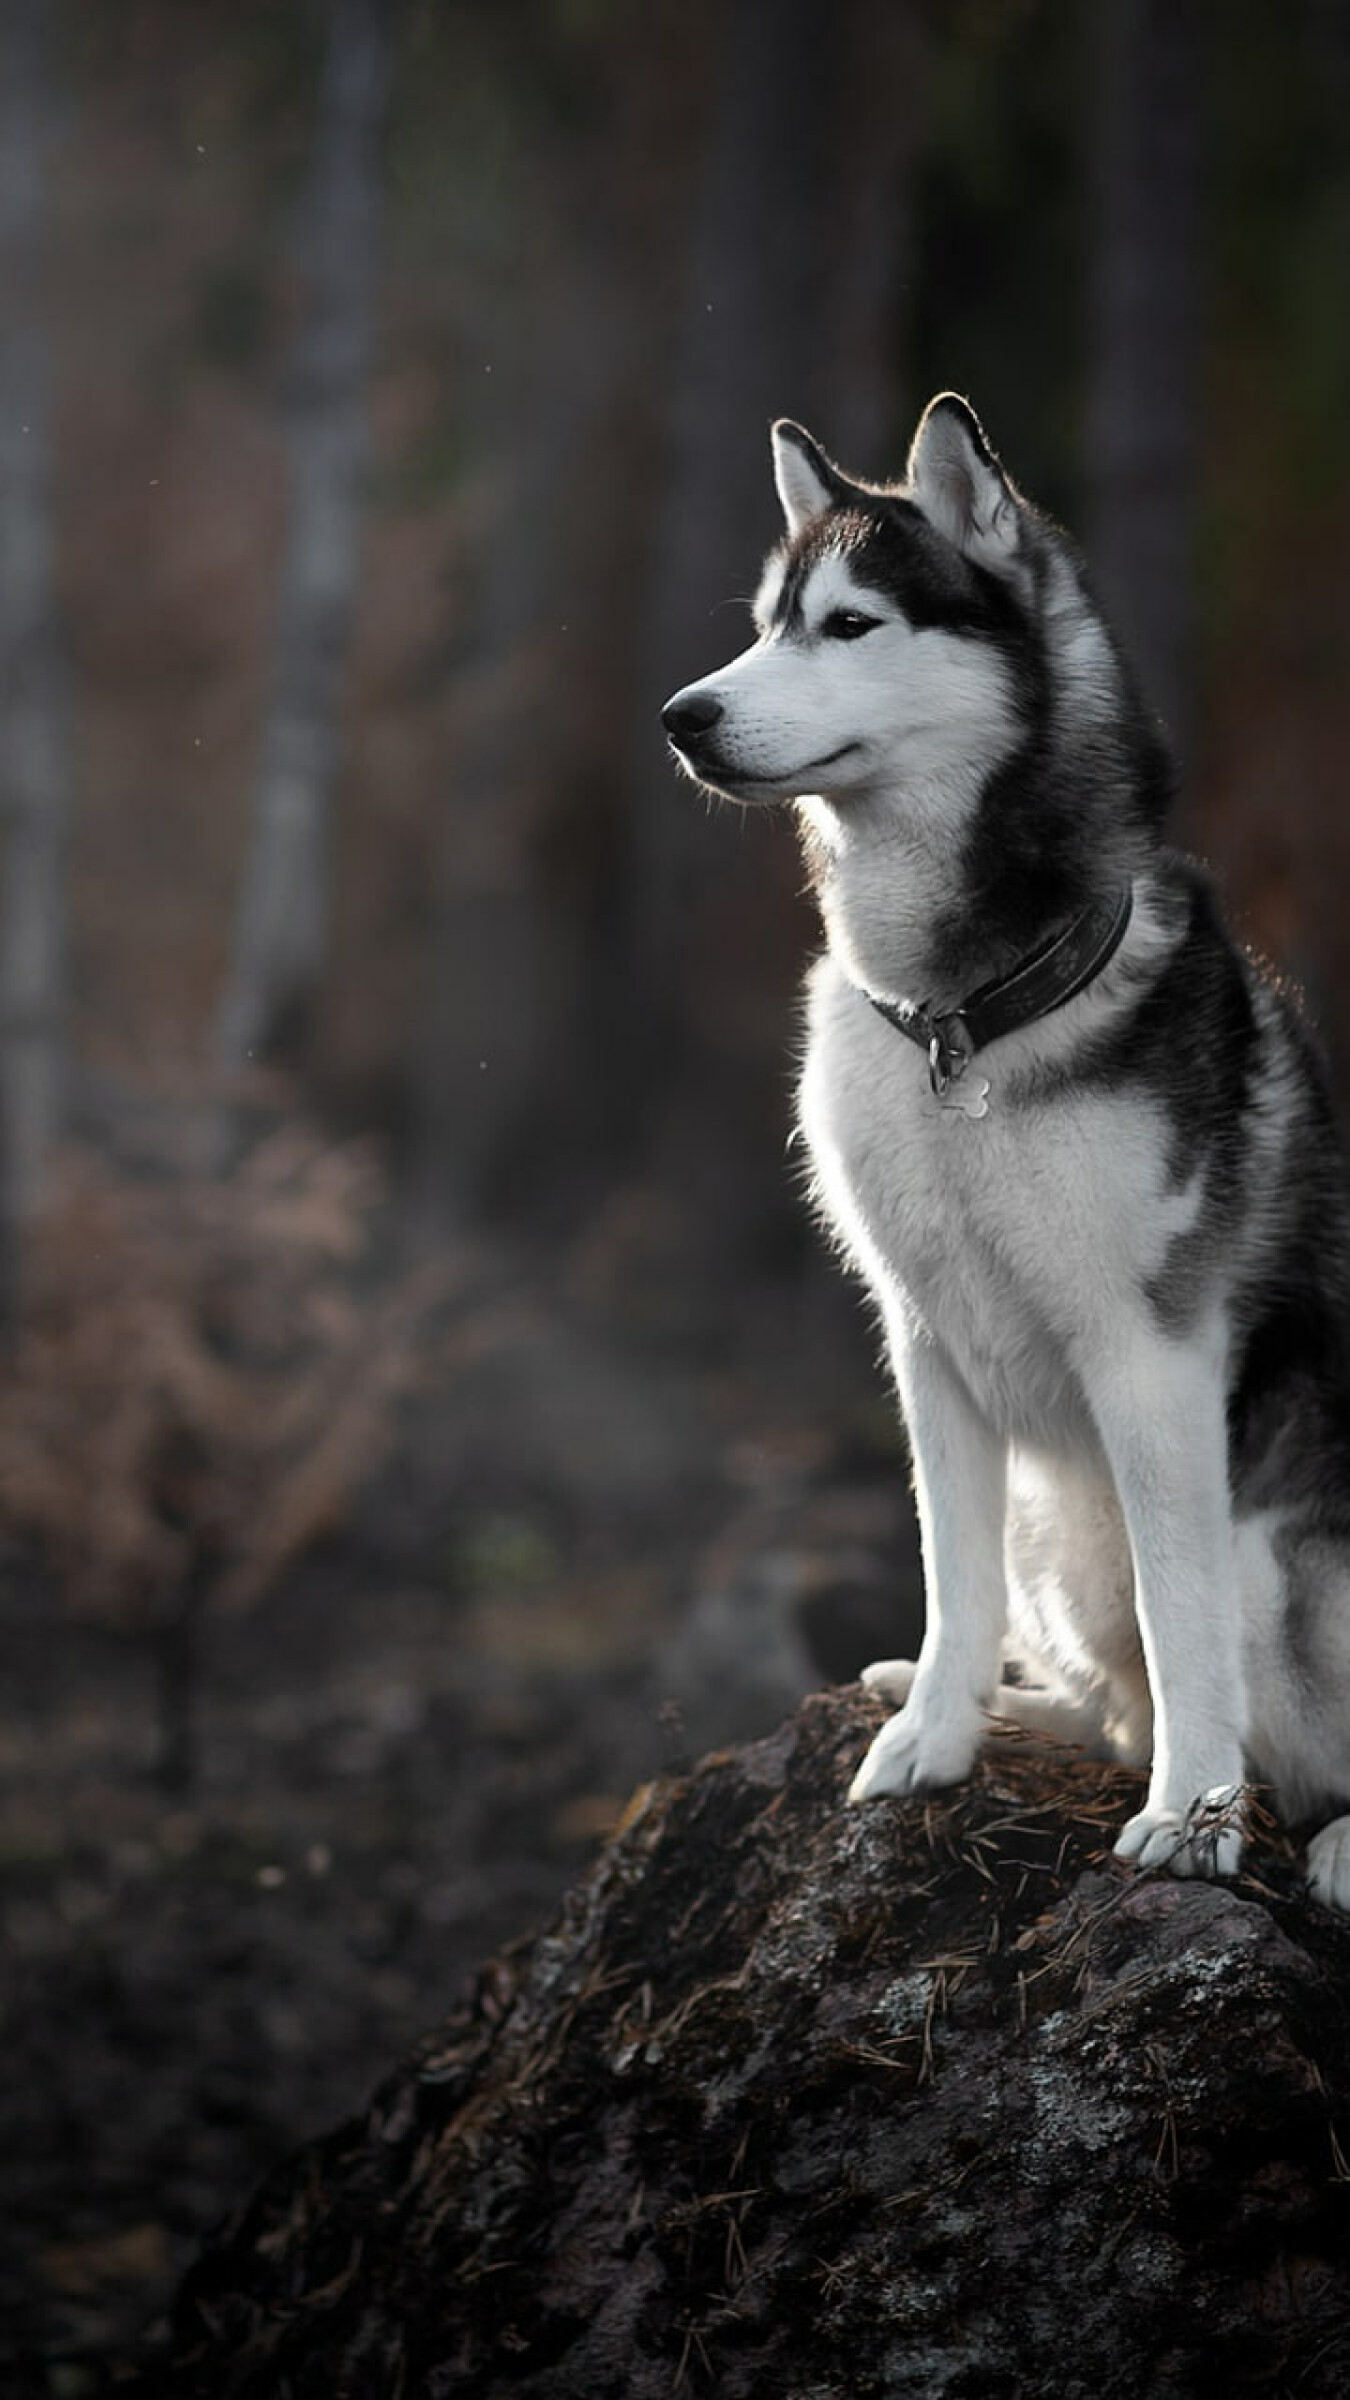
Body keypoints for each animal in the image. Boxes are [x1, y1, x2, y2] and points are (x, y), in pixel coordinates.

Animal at [662, 403, 1350, 1920]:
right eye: (762, 626)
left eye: (849, 624)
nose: (683, 715)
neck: (962, 1023)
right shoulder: (925, 1336)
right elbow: (948, 1571)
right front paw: (934, 1732)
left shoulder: (1151, 1361)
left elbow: (1181, 1610)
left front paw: (1191, 1822)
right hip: (1058, 1525)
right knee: (1114, 1696)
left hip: (1273, 1545)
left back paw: (1326, 1837)